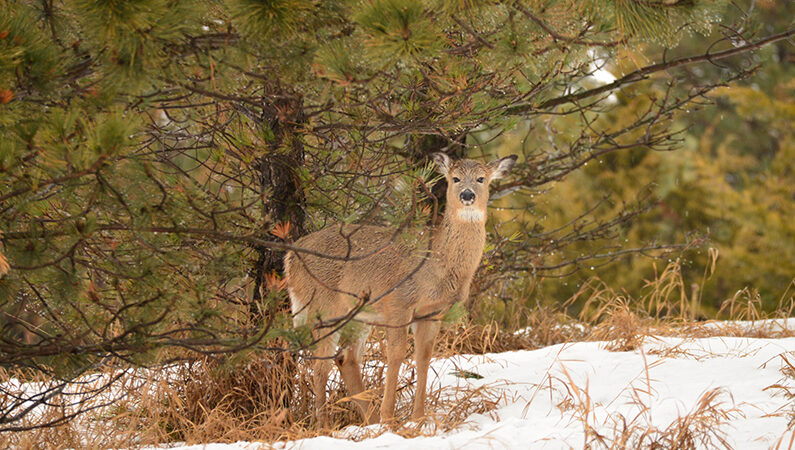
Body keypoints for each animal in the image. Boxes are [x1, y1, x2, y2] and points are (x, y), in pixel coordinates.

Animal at [282, 154, 520, 426]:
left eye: (481, 178)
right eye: (455, 178)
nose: (467, 195)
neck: (438, 263)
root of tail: (290, 256)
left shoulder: (432, 313)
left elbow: (423, 357)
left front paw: (418, 417)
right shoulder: (398, 302)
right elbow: (395, 355)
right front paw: (389, 417)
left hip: (358, 314)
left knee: (346, 358)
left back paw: (369, 419)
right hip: (323, 305)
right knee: (320, 364)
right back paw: (325, 425)